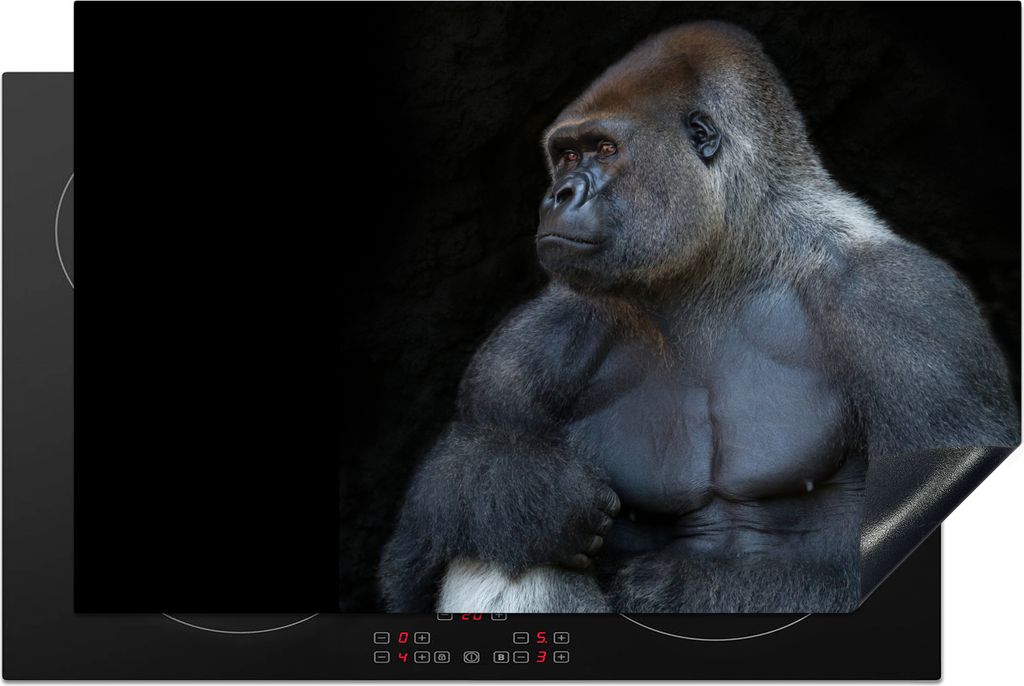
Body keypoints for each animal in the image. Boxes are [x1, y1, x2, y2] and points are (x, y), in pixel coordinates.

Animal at [378, 21, 1019, 613]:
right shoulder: (521, 356)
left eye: (605, 149)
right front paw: (523, 495)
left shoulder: (913, 317)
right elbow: (413, 561)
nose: (557, 195)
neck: (726, 262)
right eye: (566, 155)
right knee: (498, 549)